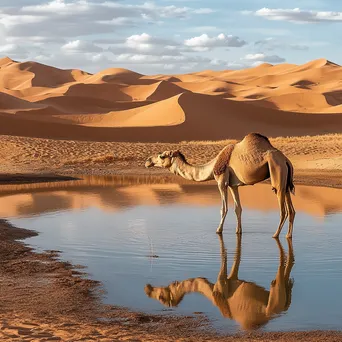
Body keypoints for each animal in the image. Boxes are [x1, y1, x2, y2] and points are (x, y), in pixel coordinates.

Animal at [144, 232, 294, 332]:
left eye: (161, 297)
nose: (147, 289)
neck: (212, 291)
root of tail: (284, 307)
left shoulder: (223, 281)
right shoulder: (232, 278)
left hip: (275, 298)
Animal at [146, 133, 296, 238]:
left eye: (162, 156)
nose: (147, 161)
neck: (213, 165)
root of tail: (286, 160)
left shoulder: (221, 182)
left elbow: (223, 209)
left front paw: (218, 230)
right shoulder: (233, 185)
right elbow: (238, 208)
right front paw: (238, 231)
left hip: (277, 171)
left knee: (283, 209)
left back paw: (275, 235)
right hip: (286, 180)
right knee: (291, 209)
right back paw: (288, 235)